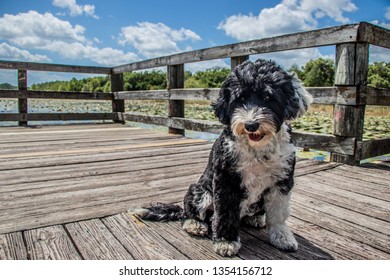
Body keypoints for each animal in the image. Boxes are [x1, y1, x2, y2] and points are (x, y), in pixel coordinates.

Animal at [133, 58, 312, 256]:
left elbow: (279, 213)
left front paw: (282, 237)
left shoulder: (282, 180)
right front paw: (226, 241)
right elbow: (225, 213)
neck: (257, 149)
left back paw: (256, 218)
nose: (251, 125)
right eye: (239, 100)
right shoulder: (226, 179)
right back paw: (196, 225)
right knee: (190, 214)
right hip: (199, 191)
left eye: (268, 98)